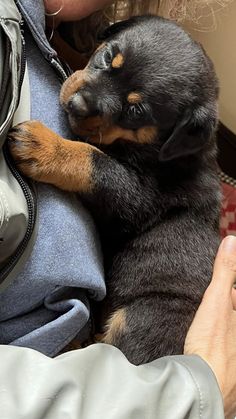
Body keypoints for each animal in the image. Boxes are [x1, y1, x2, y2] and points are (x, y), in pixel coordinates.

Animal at [8, 15, 220, 364]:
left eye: (136, 111)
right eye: (108, 57)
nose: (77, 105)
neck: (162, 150)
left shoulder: (136, 197)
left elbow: (93, 160)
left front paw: (45, 146)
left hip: (143, 314)